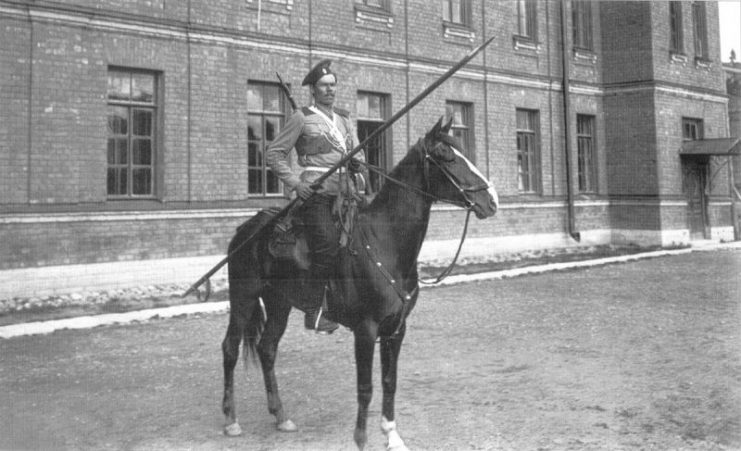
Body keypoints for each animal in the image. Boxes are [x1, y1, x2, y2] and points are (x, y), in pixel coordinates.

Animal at [220, 117, 498, 451]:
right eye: (446, 156)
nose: (491, 201)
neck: (385, 242)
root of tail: (246, 229)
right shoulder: (366, 329)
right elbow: (365, 387)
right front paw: (362, 439)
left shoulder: (396, 328)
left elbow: (389, 382)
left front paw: (392, 436)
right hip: (244, 297)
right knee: (230, 348)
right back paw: (231, 420)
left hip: (279, 303)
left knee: (267, 349)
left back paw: (281, 415)